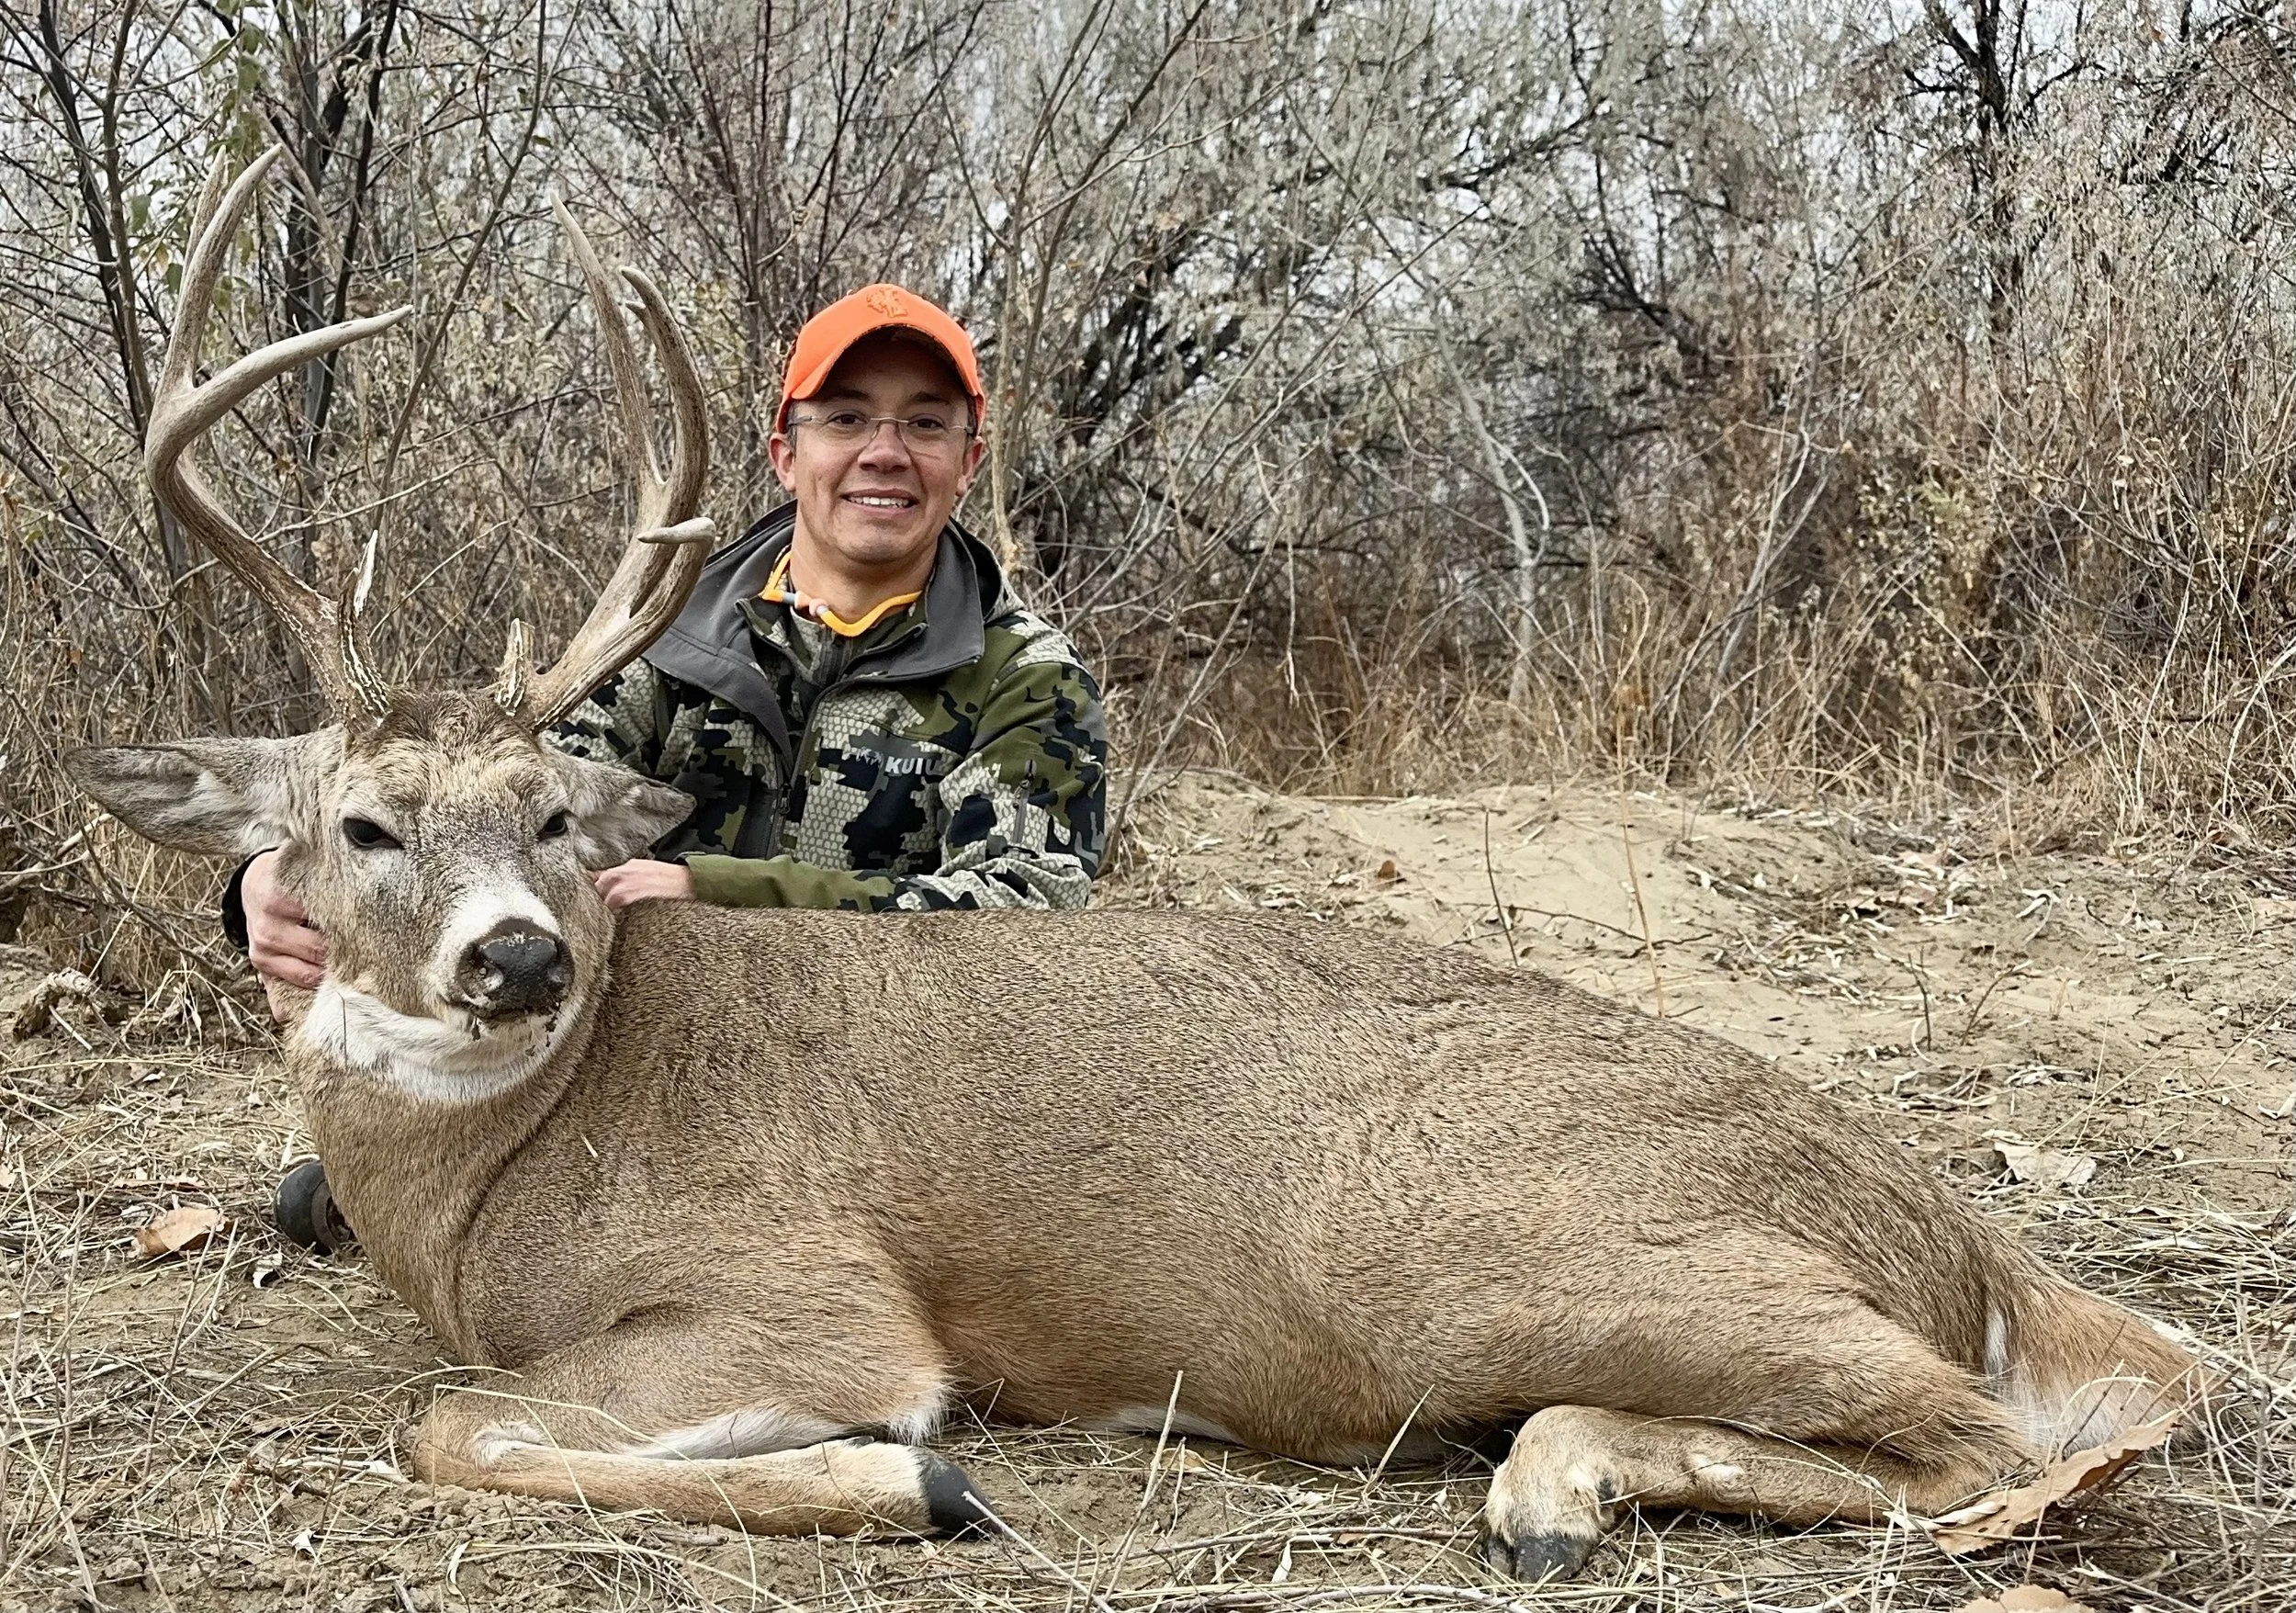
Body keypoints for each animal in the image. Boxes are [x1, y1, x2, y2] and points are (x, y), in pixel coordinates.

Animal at [68, 150, 2202, 1582]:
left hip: (1487, 1252)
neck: (509, 1164)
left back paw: (1554, 1486)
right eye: (363, 825)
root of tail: (1959, 1235)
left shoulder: (810, 1296)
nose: (518, 959)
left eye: (550, 817)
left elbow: (458, 1419)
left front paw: (918, 1480)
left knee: (1985, 1438)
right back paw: (1553, 1478)